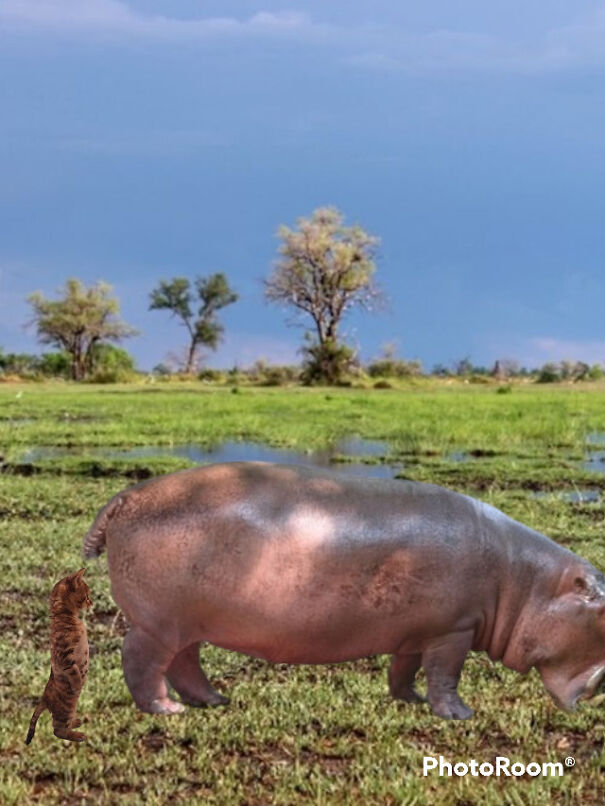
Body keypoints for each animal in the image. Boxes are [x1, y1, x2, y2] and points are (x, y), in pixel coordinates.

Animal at [82, 462, 605, 720]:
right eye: (599, 606)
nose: (600, 684)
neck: (526, 581)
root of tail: (125, 496)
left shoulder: (416, 631)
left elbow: (404, 669)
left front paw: (409, 702)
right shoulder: (453, 631)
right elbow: (445, 675)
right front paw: (460, 715)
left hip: (188, 622)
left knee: (187, 663)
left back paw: (215, 702)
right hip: (159, 623)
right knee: (142, 661)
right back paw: (166, 710)